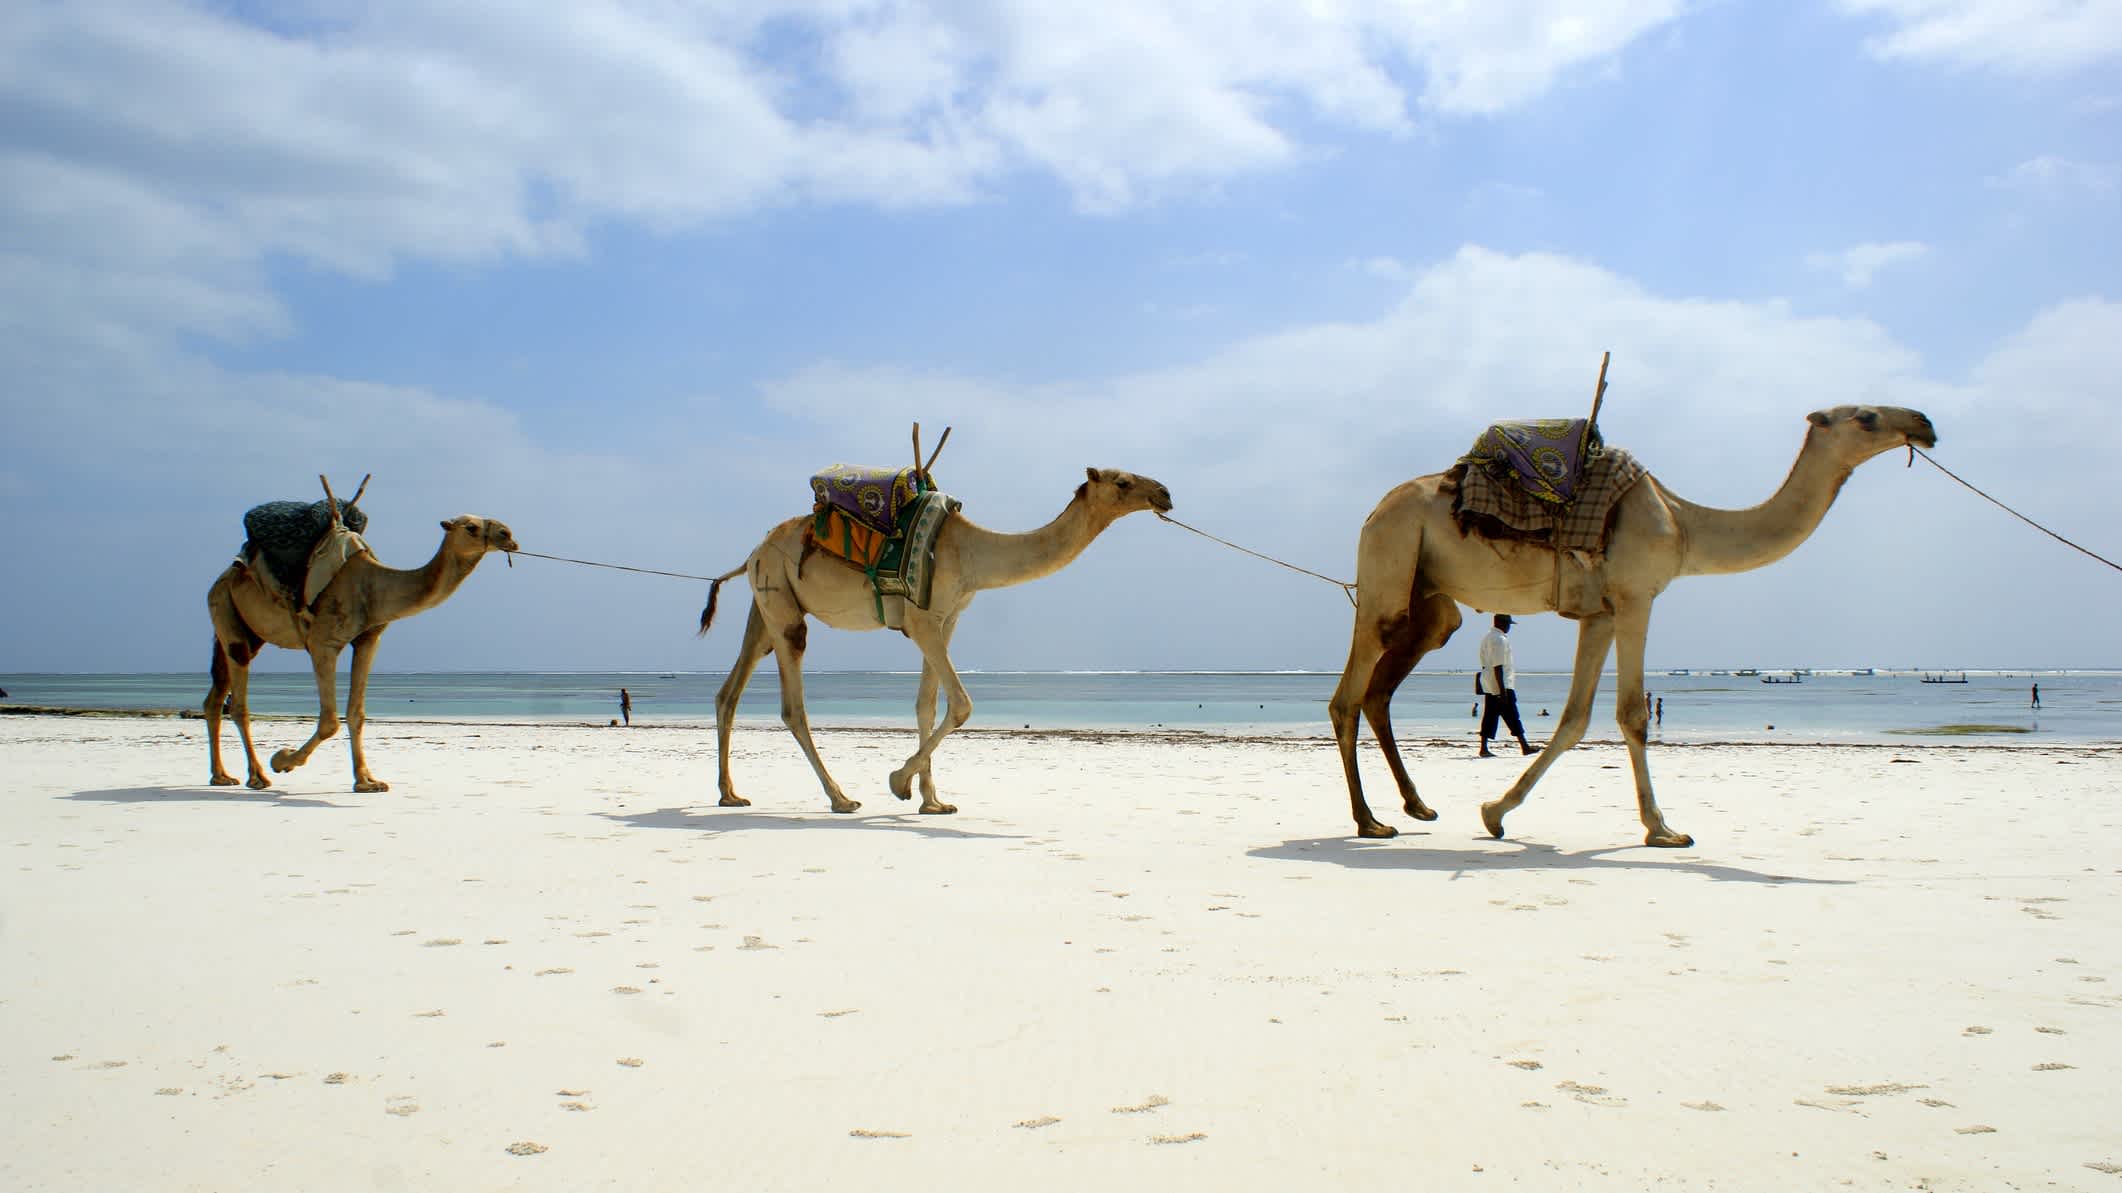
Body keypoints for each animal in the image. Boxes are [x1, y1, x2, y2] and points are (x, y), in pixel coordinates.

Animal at [204, 511, 519, 789]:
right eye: (471, 527)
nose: (509, 535)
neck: (373, 587)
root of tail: (223, 576)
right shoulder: (323, 643)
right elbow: (330, 721)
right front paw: (282, 760)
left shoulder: (369, 639)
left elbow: (357, 713)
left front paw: (367, 781)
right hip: (224, 605)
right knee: (239, 701)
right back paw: (257, 776)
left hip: (245, 630)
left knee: (215, 697)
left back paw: (221, 776)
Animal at [704, 464, 1179, 806]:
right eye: (1122, 481)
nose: (1165, 494)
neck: (971, 553)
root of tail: (751, 553)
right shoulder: (922, 621)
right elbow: (962, 703)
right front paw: (898, 782)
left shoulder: (947, 619)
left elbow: (926, 705)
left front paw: (932, 801)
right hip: (783, 607)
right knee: (793, 706)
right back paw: (840, 798)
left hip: (765, 603)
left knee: (730, 692)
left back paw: (730, 794)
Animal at [1332, 403, 1935, 840]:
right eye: (1867, 416)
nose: (1924, 424)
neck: (1681, 524)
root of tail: (1371, 512)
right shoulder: (1637, 596)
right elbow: (1633, 715)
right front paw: (1664, 830)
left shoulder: (1600, 613)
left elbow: (1575, 719)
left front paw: (1495, 813)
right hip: (1390, 557)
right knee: (1349, 695)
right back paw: (1369, 821)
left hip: (1429, 599)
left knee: (1383, 687)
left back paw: (1416, 807)